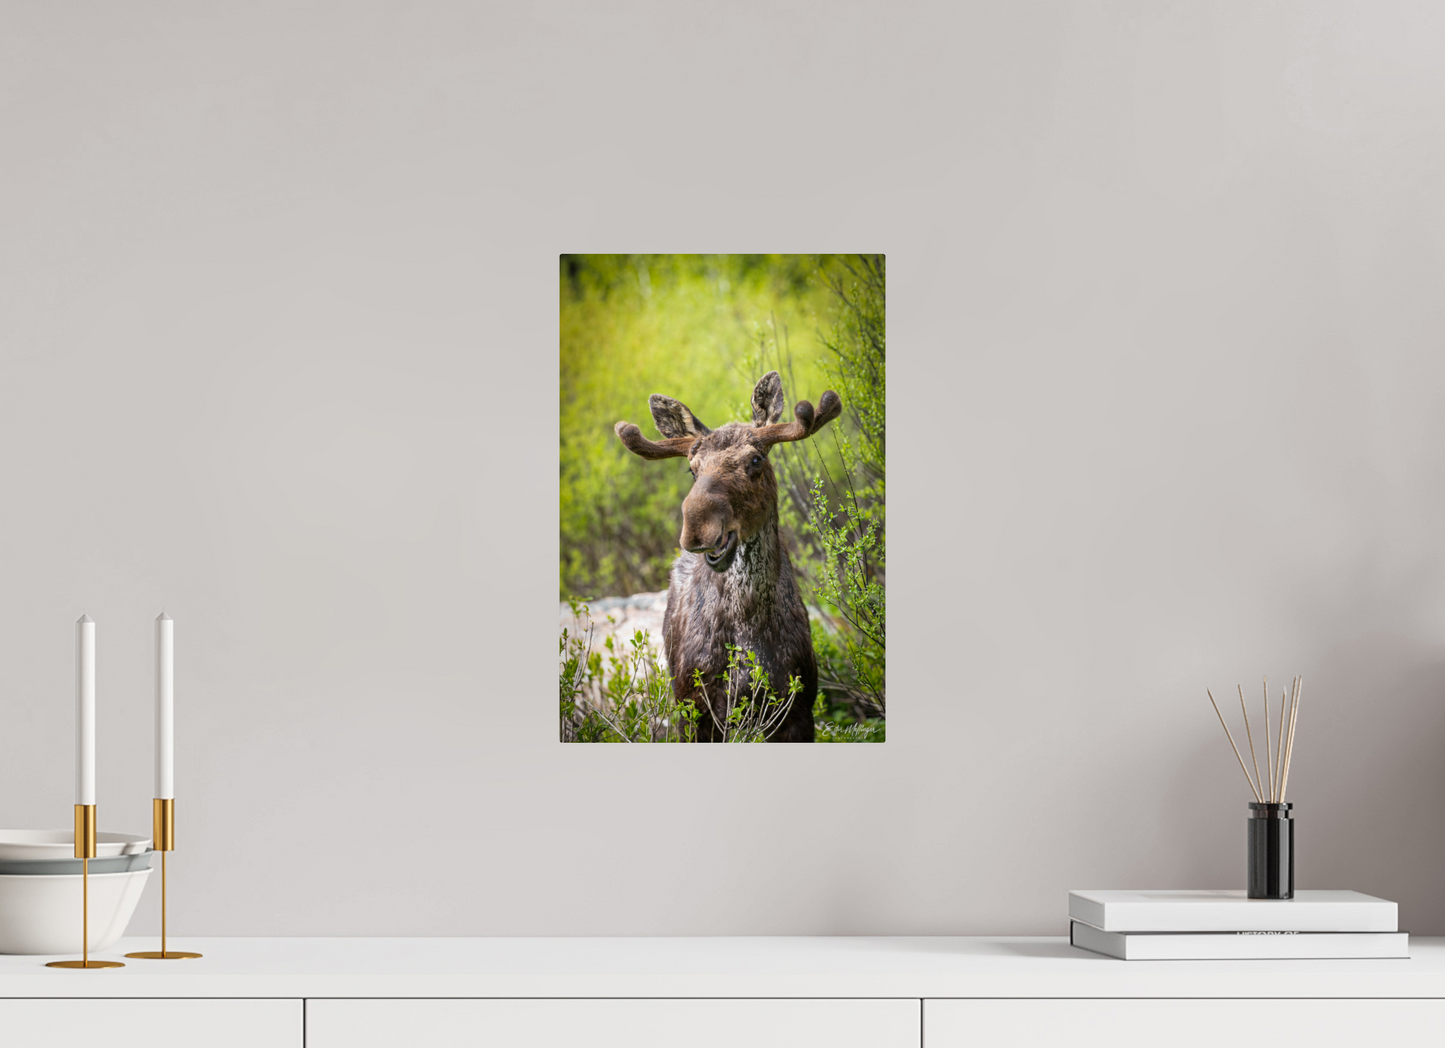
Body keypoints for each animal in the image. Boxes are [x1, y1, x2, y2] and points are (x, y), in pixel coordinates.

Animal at [614, 371, 841, 742]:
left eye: (755, 460)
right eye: (692, 469)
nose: (696, 526)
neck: (749, 625)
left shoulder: (798, 709)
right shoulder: (694, 709)